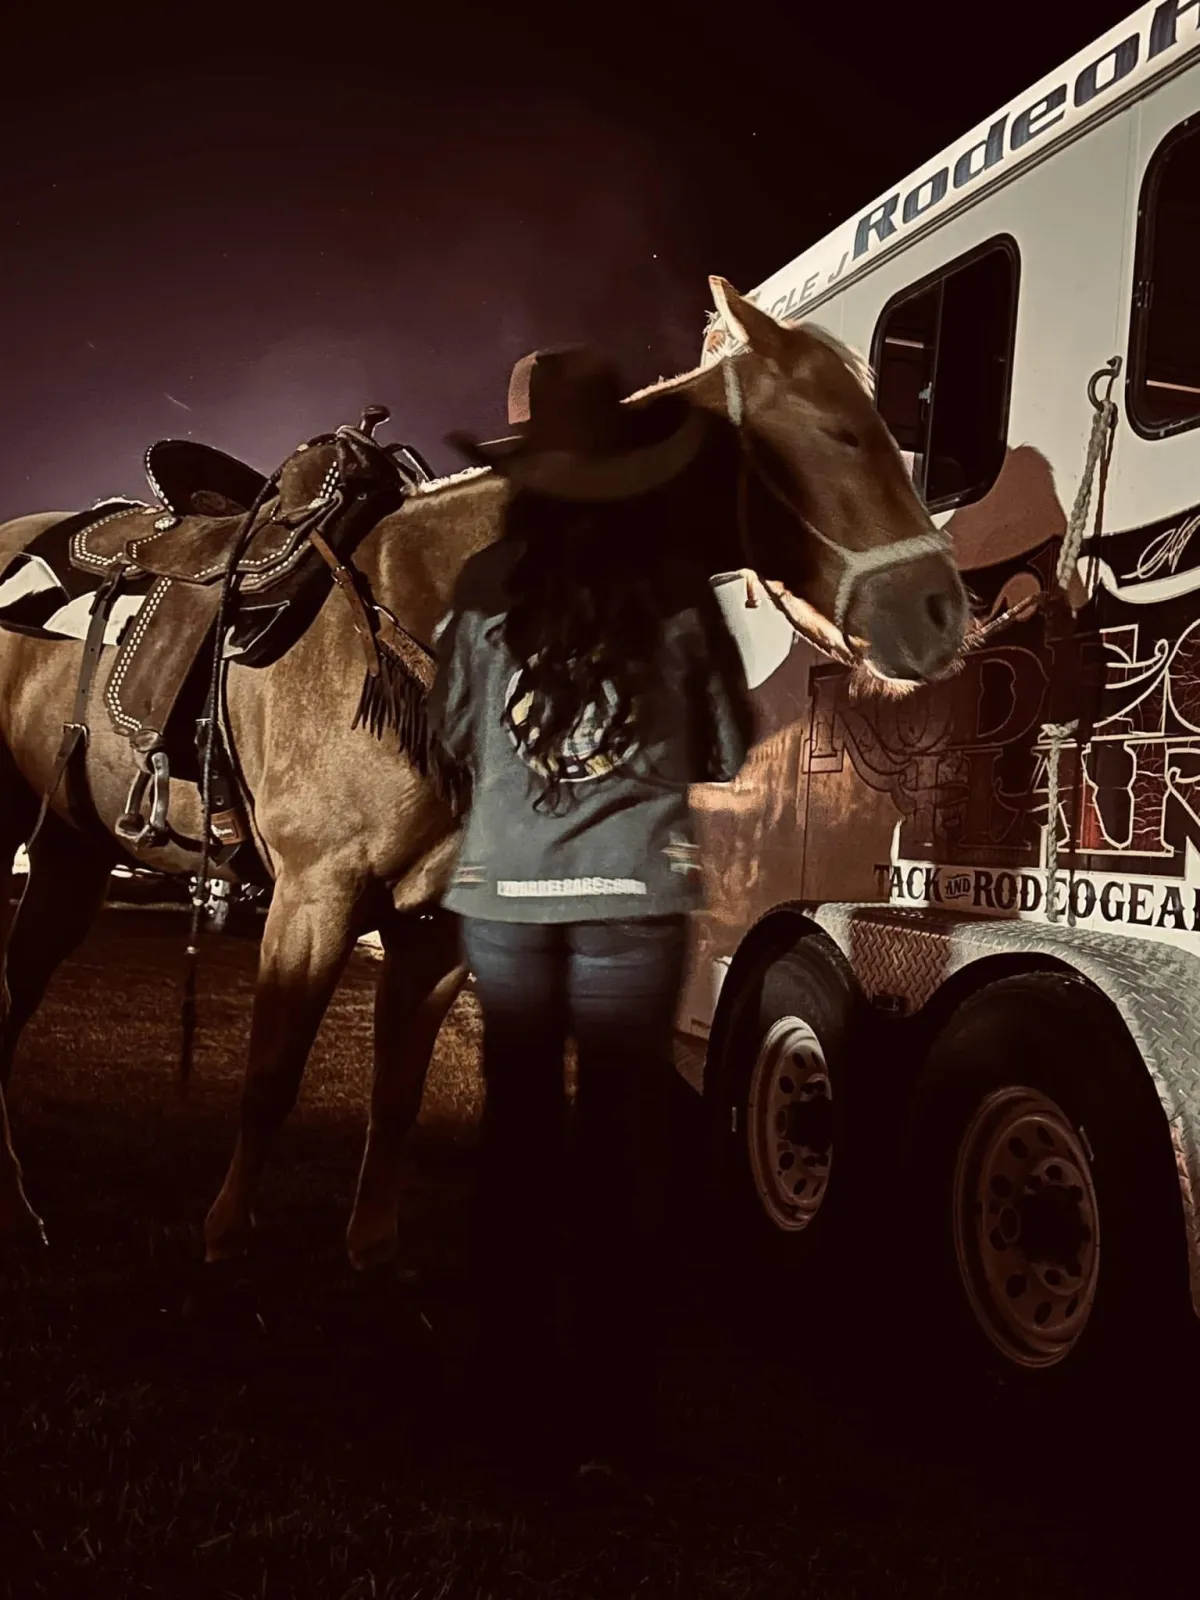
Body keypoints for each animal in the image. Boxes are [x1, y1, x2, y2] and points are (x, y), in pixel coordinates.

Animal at [0, 281, 966, 1267]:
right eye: (842, 433)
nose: (943, 610)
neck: (429, 614)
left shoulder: (435, 927)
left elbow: (397, 1093)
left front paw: (370, 1248)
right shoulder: (314, 894)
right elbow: (271, 1075)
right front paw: (227, 1234)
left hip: (72, 849)